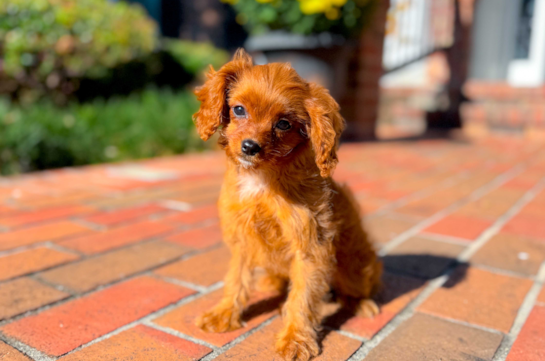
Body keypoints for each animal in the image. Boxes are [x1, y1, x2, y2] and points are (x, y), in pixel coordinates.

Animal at [193, 50, 380, 360]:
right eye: (239, 109)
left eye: (283, 124)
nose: (249, 147)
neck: (263, 179)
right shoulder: (241, 239)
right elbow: (235, 279)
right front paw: (224, 313)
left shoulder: (310, 246)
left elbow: (302, 297)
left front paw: (296, 338)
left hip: (356, 265)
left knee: (354, 286)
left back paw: (360, 303)